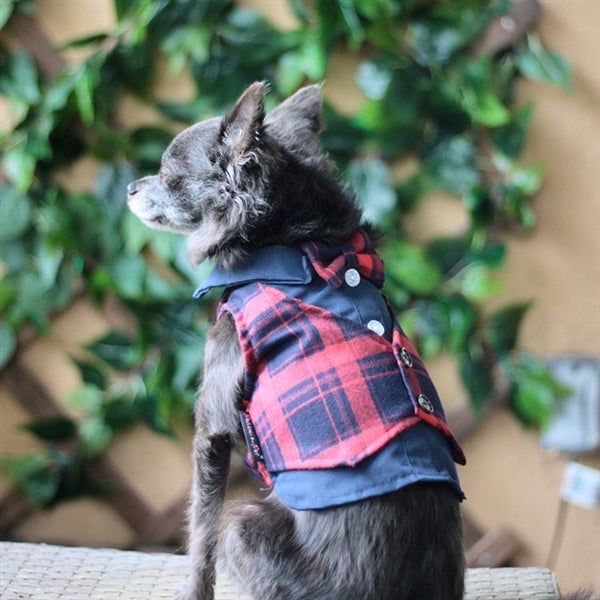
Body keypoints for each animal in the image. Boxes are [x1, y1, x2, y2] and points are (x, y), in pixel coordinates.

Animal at [126, 83, 466, 600]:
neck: (291, 241)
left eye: (168, 175)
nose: (130, 187)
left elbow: (200, 535)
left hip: (243, 528)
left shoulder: (213, 426)